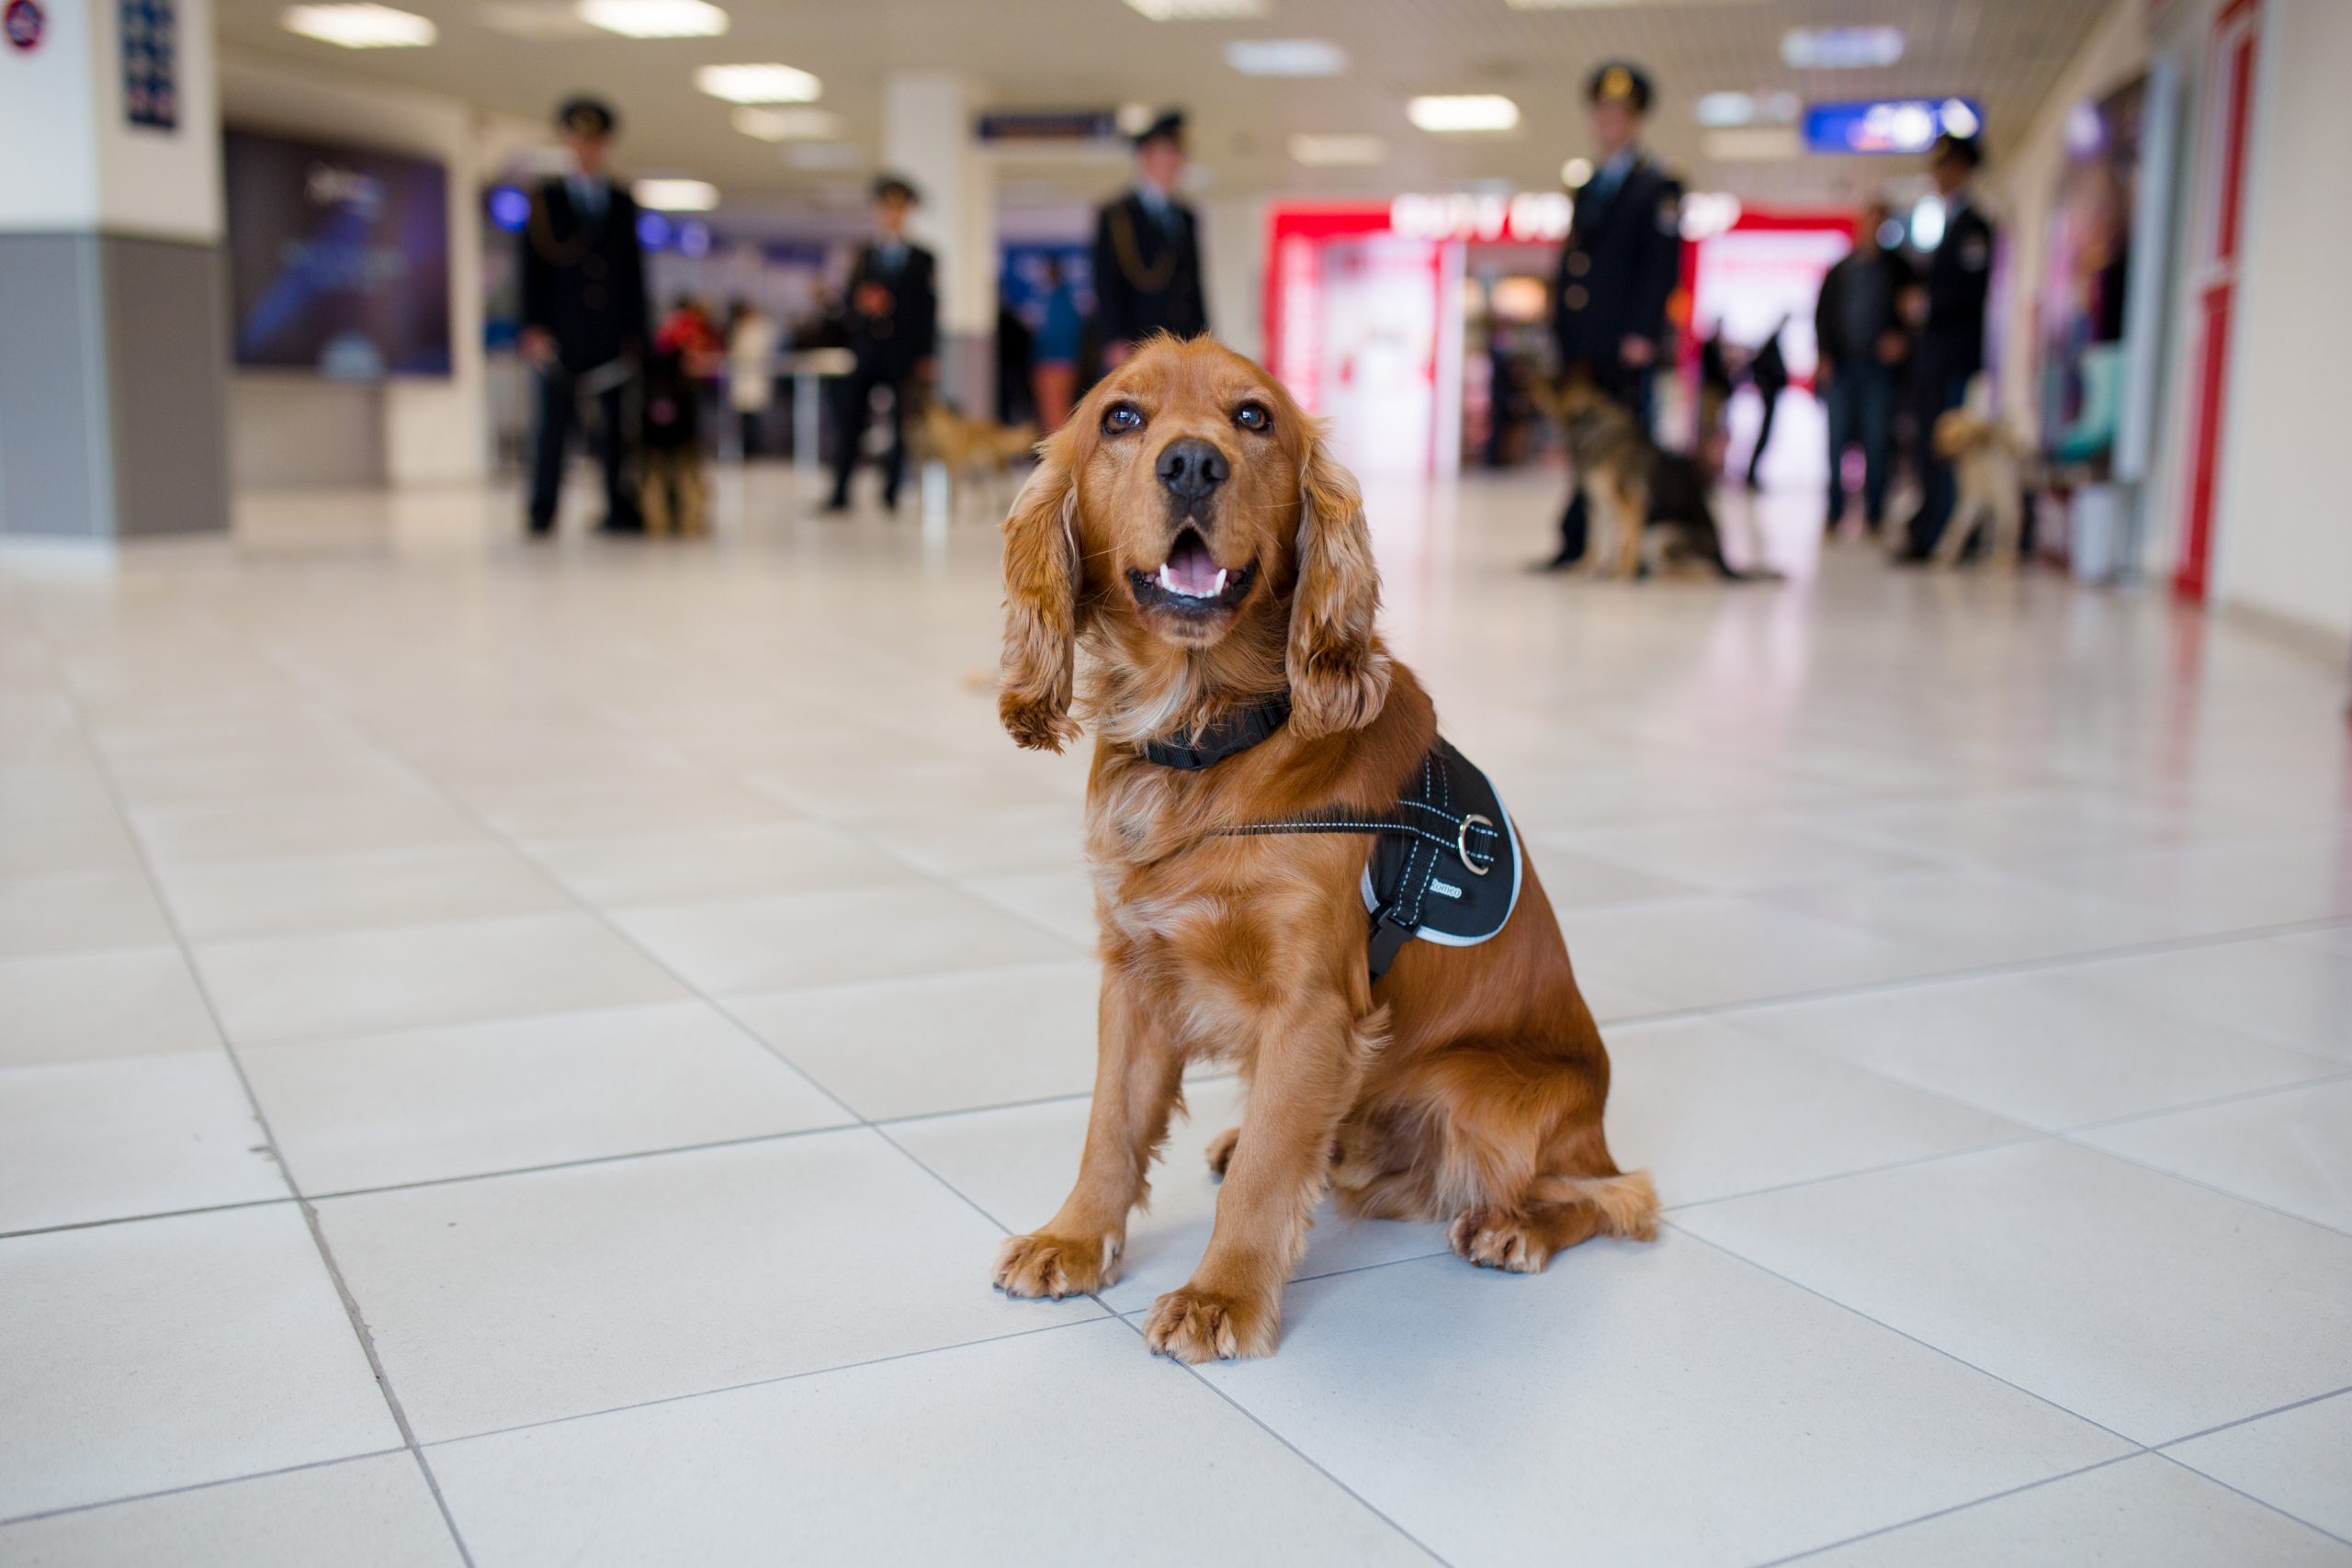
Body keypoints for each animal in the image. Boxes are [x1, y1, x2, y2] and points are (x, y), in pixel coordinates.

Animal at [992, 341, 1656, 1363]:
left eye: (1254, 418)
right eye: (1121, 418)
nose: (1194, 463)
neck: (1210, 737)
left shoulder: (1312, 1004)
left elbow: (1271, 1168)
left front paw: (1220, 1296)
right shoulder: (1134, 972)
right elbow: (1110, 1124)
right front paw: (1073, 1237)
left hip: (1478, 1090)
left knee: (1613, 1194)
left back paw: (1515, 1226)